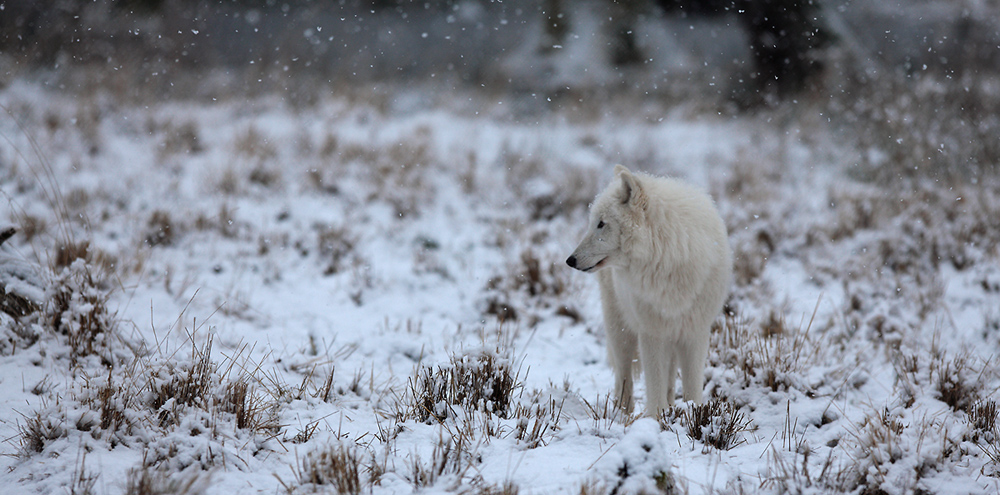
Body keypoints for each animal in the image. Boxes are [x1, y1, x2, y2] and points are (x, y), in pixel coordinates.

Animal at [568, 167, 732, 418]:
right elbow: (654, 381)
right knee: (624, 374)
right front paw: (655, 419)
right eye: (593, 222)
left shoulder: (695, 332)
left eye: (601, 224)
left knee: (669, 376)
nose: (570, 260)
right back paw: (622, 414)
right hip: (620, 330)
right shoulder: (651, 332)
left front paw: (694, 414)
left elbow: (692, 385)